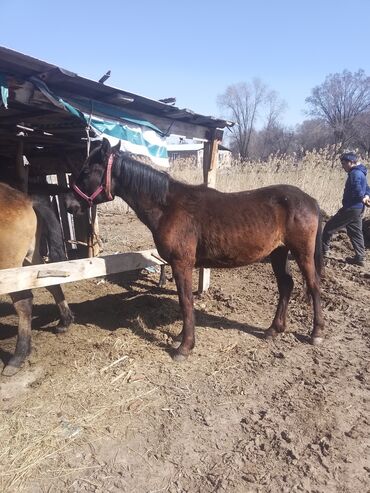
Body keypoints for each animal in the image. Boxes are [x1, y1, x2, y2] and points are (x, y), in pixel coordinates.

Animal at [0, 183, 73, 374]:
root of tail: (27, 200)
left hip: (10, 265)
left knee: (24, 302)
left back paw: (17, 357)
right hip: (30, 257)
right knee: (51, 282)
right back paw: (65, 321)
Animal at [66, 138, 324, 362]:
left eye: (86, 171)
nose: (69, 204)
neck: (168, 206)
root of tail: (311, 201)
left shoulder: (182, 263)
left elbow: (185, 301)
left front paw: (185, 346)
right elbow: (186, 301)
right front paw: (181, 337)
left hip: (301, 253)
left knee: (313, 286)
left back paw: (316, 333)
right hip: (278, 253)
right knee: (286, 285)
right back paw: (274, 329)